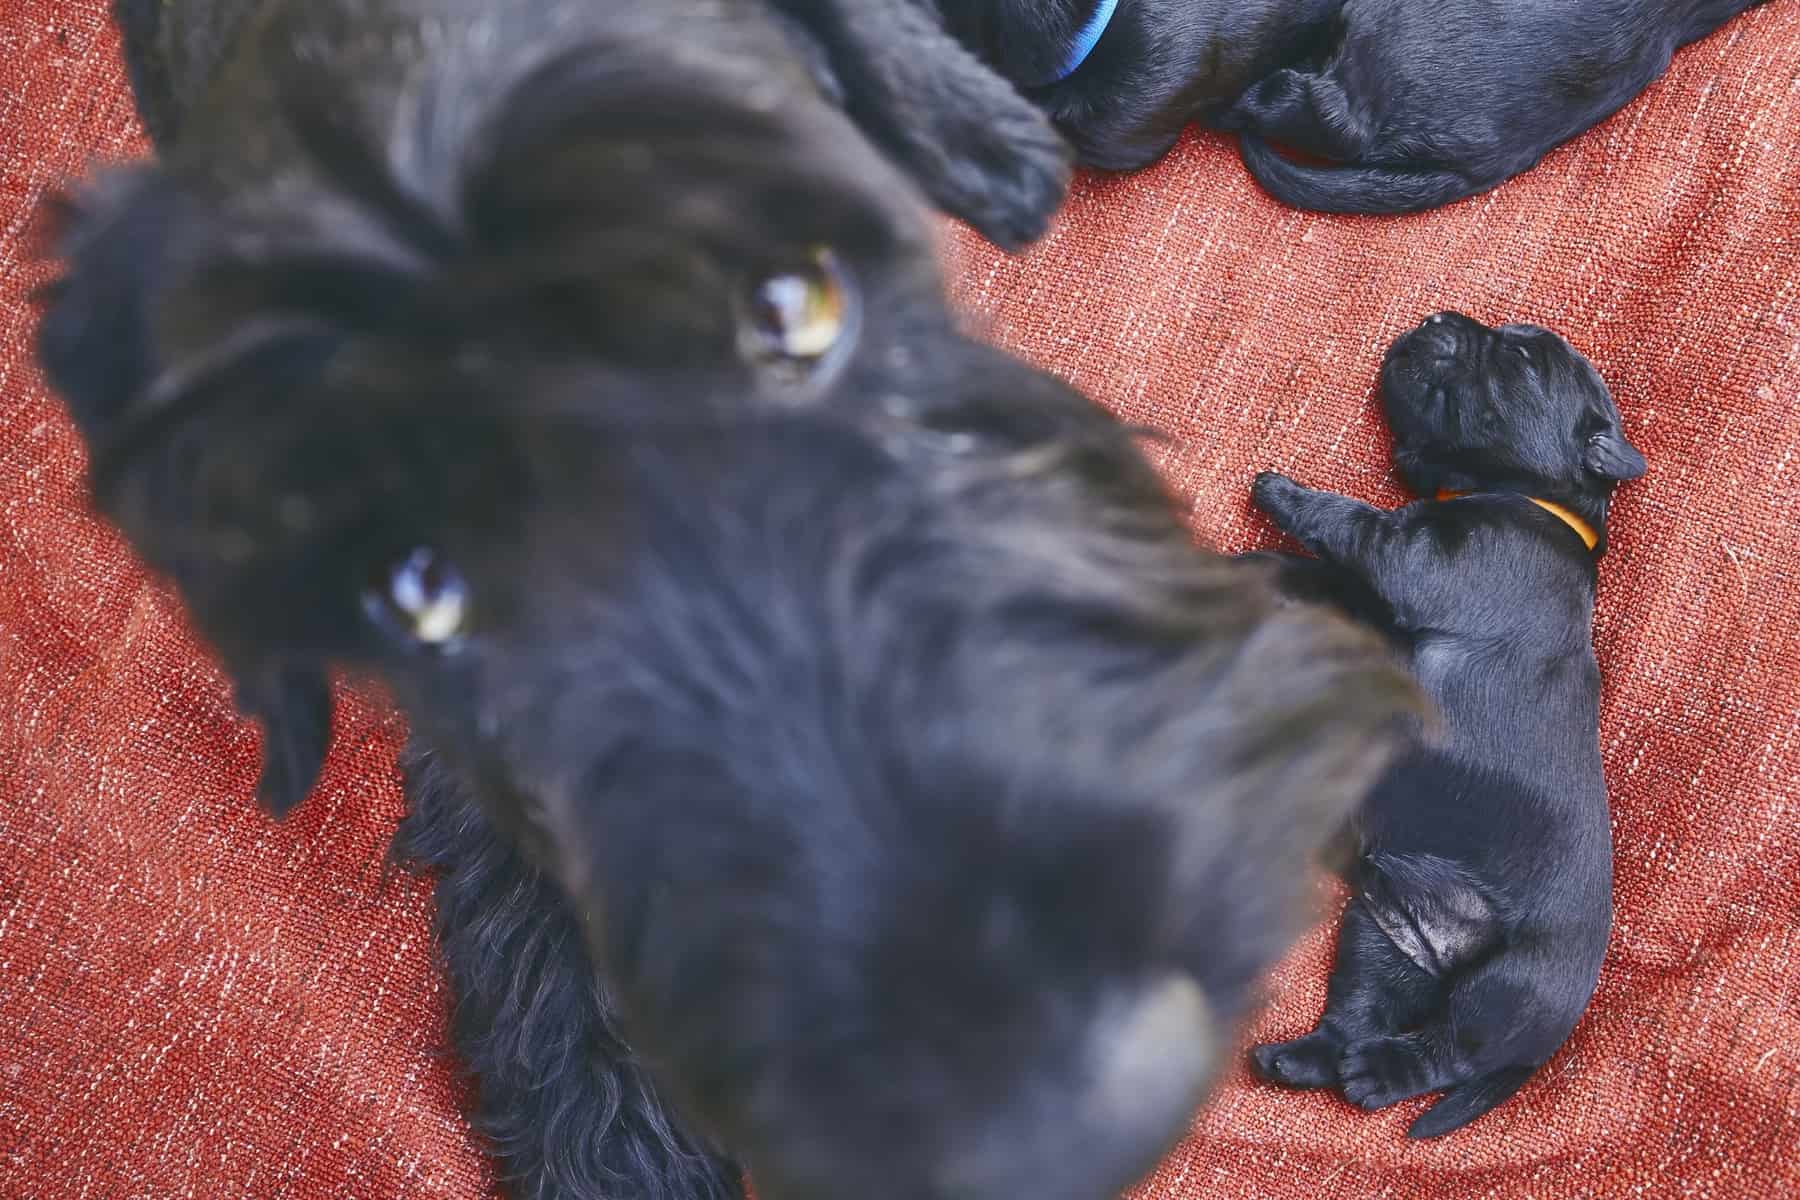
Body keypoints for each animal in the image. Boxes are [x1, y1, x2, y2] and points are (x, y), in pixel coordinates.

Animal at [1238, 314, 1648, 1144]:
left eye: (1521, 356)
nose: (1435, 320)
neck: (1535, 497)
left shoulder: (1417, 558)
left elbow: (1355, 526)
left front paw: (1283, 493)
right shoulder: (1381, 601)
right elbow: (1331, 582)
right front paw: (1265, 566)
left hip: (1510, 991)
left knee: (1446, 1051)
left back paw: (1376, 1076)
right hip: (1384, 934)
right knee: (1357, 1015)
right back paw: (1299, 1059)